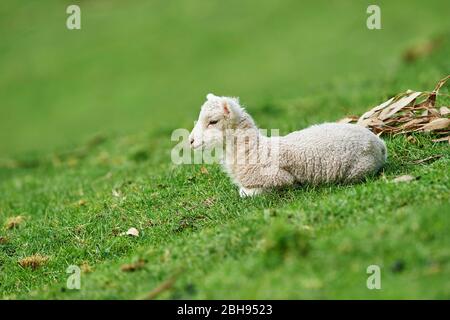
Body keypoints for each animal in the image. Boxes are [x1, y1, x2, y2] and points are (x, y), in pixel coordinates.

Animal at [189, 93, 386, 198]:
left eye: (213, 121)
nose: (190, 141)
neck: (255, 149)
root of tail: (380, 143)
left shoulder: (279, 178)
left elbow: (245, 193)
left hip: (358, 169)